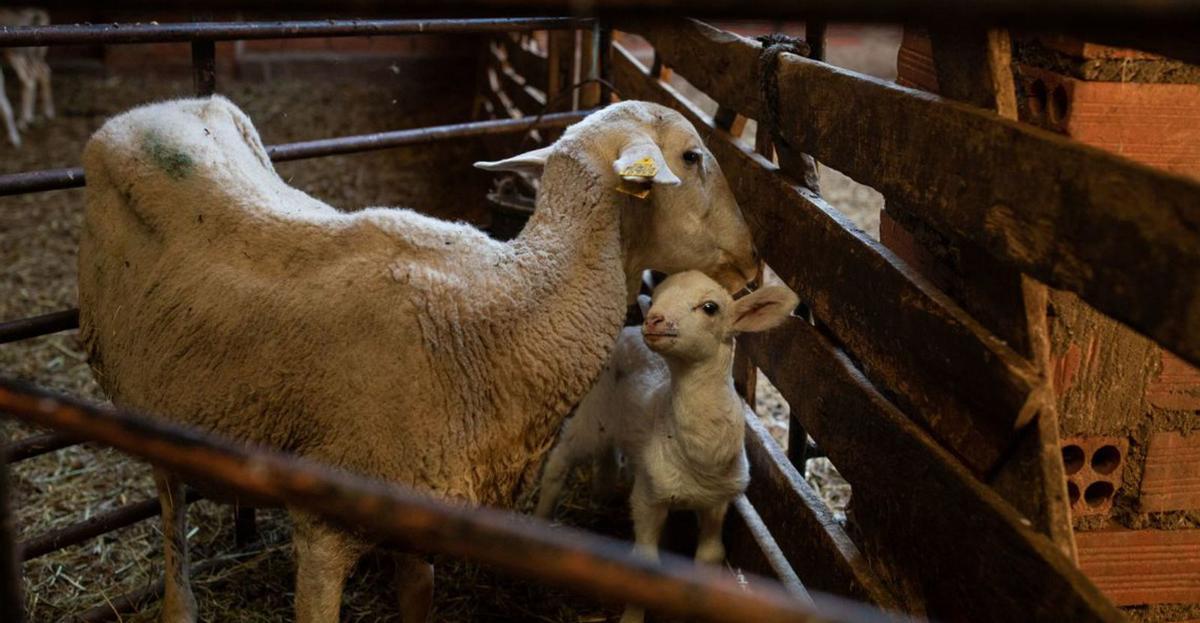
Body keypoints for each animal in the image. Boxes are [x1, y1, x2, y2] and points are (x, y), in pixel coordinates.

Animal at [0, 7, 54, 147]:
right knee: (43, 71)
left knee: (28, 80)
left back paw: (24, 121)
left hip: (18, 53)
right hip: (34, 54)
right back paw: (48, 111)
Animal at [77, 97, 758, 623]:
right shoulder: (322, 529)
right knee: (169, 503)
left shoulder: (421, 511)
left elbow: (418, 597)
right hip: (137, 390)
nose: (754, 260)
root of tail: (155, 109)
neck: (506, 309)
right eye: (693, 157)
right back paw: (178, 606)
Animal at [535, 268, 796, 623]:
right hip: (594, 412)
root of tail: (630, 329)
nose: (654, 319)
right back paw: (540, 518)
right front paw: (632, 618)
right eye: (657, 296)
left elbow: (711, 555)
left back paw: (602, 492)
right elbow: (645, 564)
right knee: (560, 458)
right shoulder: (648, 498)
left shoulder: (717, 502)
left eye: (710, 307)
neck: (699, 456)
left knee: (608, 454)